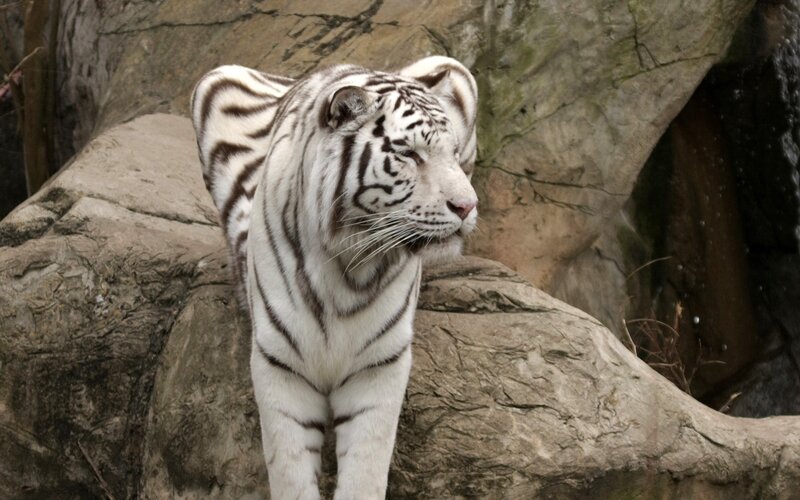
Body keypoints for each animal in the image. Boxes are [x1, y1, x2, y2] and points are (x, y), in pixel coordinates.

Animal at [191, 55, 478, 499]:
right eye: (409, 154)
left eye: (454, 152)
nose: (467, 206)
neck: (350, 265)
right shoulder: (281, 364)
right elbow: (289, 471)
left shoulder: (379, 365)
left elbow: (366, 469)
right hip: (216, 82)